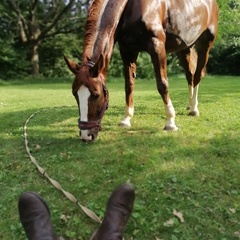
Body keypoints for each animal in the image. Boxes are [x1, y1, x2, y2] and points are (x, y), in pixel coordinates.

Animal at [64, 0, 218, 142]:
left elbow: (162, 84)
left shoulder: (157, 46)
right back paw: (190, 104)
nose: (86, 135)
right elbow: (129, 85)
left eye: (96, 95)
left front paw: (170, 121)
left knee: (197, 75)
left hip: (205, 45)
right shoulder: (128, 50)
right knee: (189, 75)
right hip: (184, 48)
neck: (131, 5)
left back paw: (194, 109)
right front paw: (126, 119)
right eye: (75, 94)